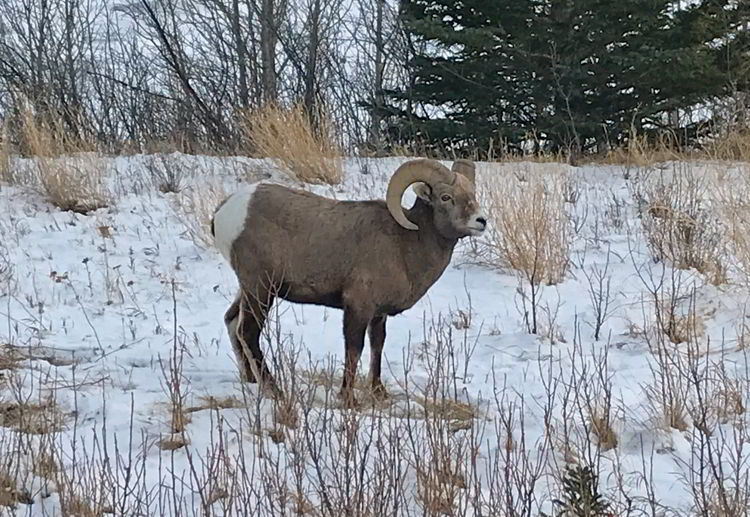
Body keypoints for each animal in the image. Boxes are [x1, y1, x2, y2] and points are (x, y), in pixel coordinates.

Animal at [212, 159, 488, 406]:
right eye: (446, 197)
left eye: (471, 194)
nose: (481, 221)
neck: (406, 244)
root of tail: (225, 212)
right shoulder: (358, 307)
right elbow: (354, 349)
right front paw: (348, 399)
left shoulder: (378, 314)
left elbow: (377, 345)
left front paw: (379, 393)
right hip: (261, 289)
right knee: (248, 332)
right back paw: (275, 391)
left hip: (249, 290)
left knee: (231, 321)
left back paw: (251, 381)